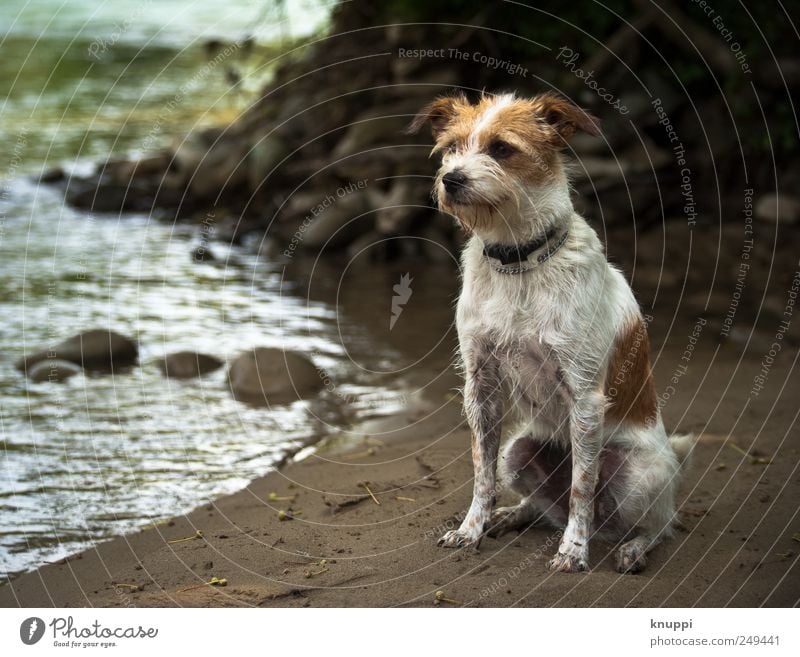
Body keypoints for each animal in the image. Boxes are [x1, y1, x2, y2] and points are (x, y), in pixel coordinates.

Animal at [410, 92, 692, 576]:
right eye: (451, 148)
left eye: (501, 148)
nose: (451, 179)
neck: (519, 262)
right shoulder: (481, 387)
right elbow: (481, 473)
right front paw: (471, 529)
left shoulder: (584, 396)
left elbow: (582, 486)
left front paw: (573, 551)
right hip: (519, 451)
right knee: (544, 506)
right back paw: (513, 515)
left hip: (638, 473)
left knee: (657, 523)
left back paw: (631, 547)